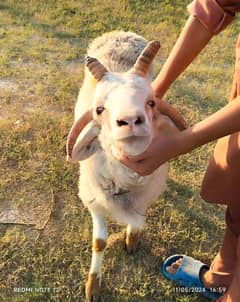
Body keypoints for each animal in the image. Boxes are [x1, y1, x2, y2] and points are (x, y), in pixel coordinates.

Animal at [66, 31, 187, 302]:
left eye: (151, 102)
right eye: (99, 109)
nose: (130, 120)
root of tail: (121, 32)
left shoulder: (147, 193)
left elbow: (138, 218)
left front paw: (132, 238)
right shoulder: (94, 201)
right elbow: (99, 242)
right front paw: (93, 285)